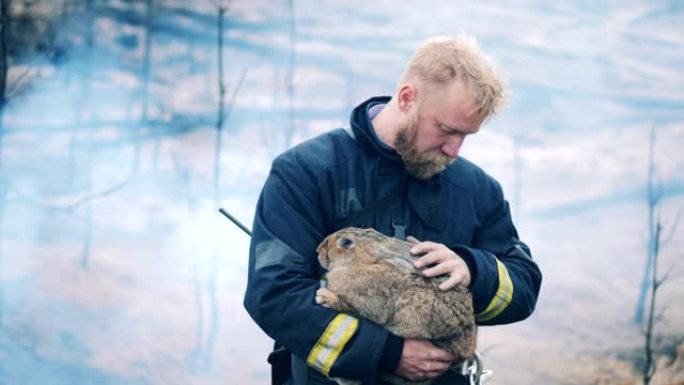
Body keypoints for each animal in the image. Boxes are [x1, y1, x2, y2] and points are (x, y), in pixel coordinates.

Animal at [316, 226, 476, 384]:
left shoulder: (368, 306)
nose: (318, 250)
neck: (359, 263)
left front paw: (323, 297)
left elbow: (347, 307)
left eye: (345, 242)